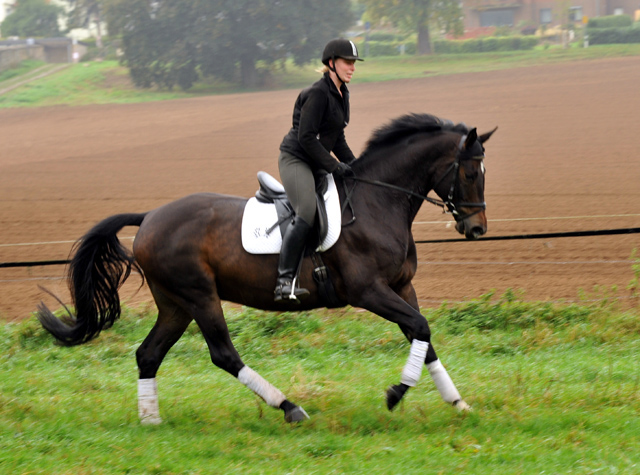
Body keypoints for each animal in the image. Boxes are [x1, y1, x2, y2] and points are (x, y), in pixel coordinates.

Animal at [37, 114, 498, 424]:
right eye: (469, 172)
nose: (476, 228)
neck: (377, 201)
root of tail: (150, 216)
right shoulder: (369, 291)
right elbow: (420, 327)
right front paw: (395, 394)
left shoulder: (401, 288)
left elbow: (423, 334)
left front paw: (457, 402)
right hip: (199, 296)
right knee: (223, 354)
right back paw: (289, 407)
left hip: (175, 304)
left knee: (148, 354)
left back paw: (151, 421)